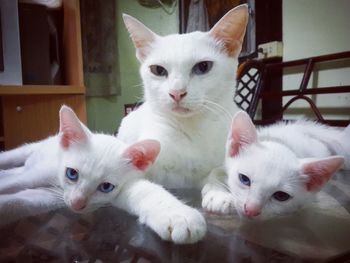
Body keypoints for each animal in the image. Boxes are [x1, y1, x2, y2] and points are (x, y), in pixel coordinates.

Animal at [0, 105, 205, 245]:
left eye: (106, 187)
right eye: (72, 173)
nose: (77, 204)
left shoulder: (47, 197)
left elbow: (19, 202)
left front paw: (177, 215)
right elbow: (11, 188)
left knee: (14, 174)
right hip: (33, 163)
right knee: (15, 169)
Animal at [117, 4, 249, 239]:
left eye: (203, 67)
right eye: (158, 70)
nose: (177, 92)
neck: (192, 128)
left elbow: (218, 172)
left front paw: (218, 193)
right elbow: (148, 189)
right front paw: (177, 215)